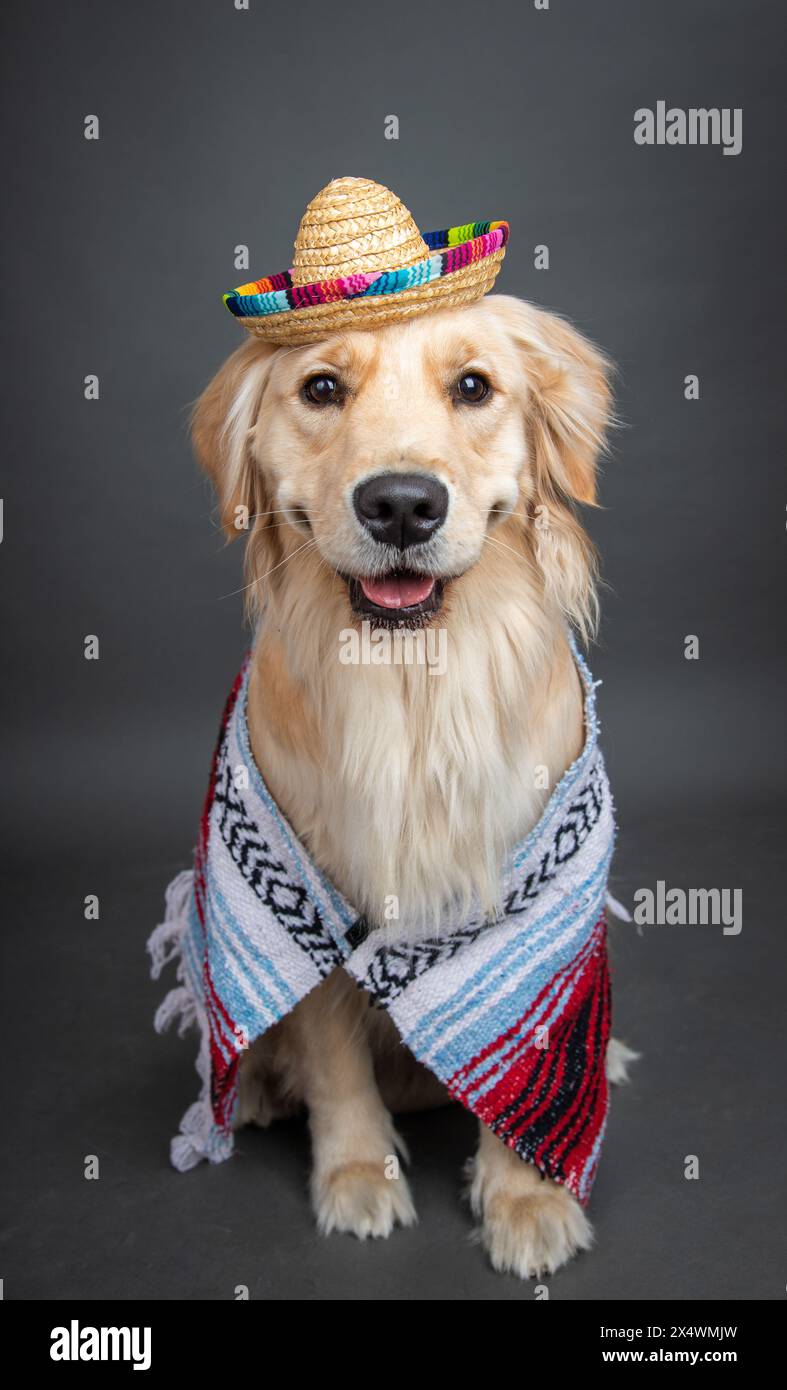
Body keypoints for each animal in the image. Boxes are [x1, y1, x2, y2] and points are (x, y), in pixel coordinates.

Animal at [186, 296, 636, 1278]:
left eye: (473, 386)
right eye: (321, 388)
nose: (400, 504)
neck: (414, 682)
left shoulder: (526, 890)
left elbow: (515, 1046)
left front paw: (526, 1197)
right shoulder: (311, 892)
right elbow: (332, 1057)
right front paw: (358, 1174)